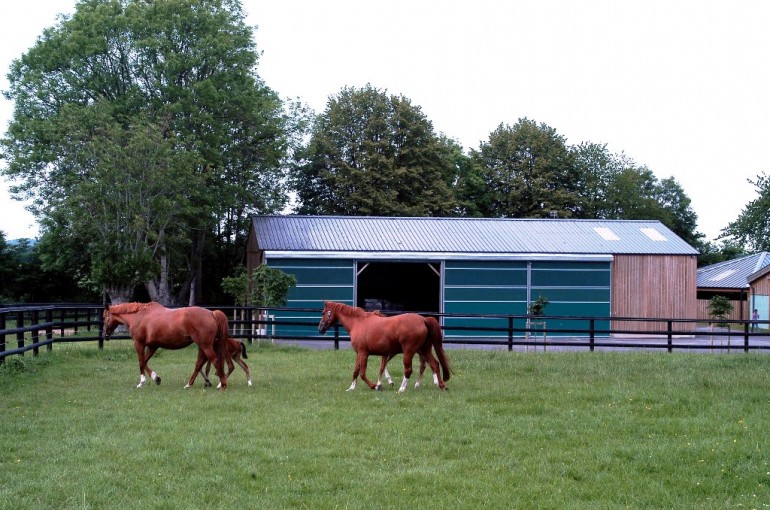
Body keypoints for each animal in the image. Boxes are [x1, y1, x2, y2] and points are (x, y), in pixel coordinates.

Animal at [316, 300, 450, 392]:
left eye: (323, 312)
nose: (320, 328)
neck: (358, 323)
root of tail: (423, 320)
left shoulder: (364, 353)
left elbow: (362, 373)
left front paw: (375, 386)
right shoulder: (359, 353)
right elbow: (356, 371)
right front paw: (352, 387)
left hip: (409, 352)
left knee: (409, 370)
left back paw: (402, 389)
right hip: (424, 350)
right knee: (434, 364)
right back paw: (441, 385)